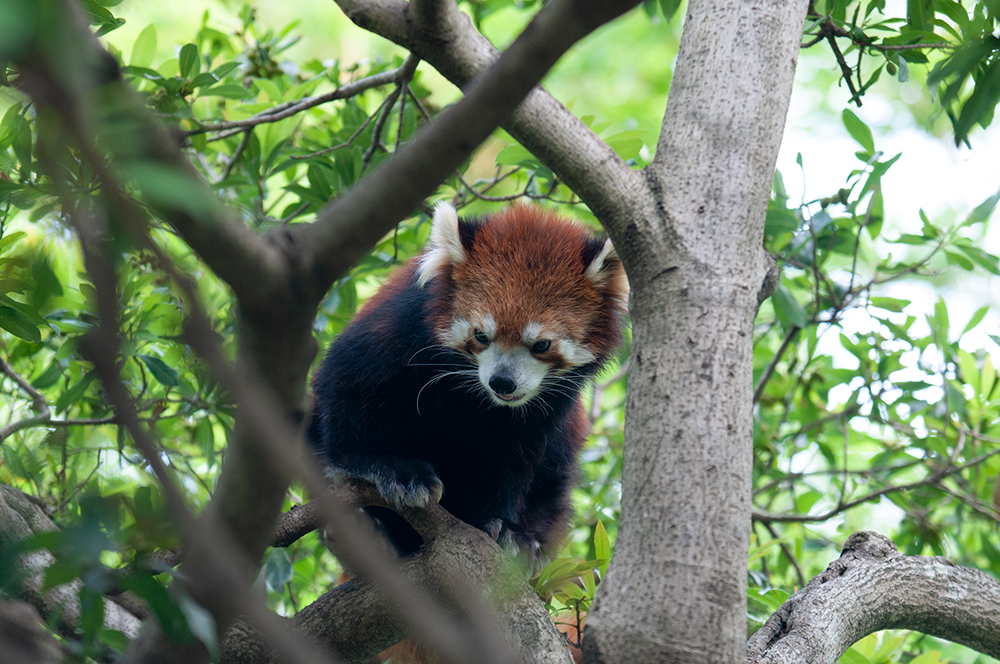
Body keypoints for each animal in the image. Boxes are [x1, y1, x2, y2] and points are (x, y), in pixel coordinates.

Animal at [308, 202, 628, 560]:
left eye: (541, 345)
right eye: (481, 335)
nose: (502, 383)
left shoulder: (543, 410)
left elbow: (509, 460)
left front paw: (502, 525)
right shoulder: (401, 324)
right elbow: (349, 383)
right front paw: (383, 464)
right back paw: (372, 532)